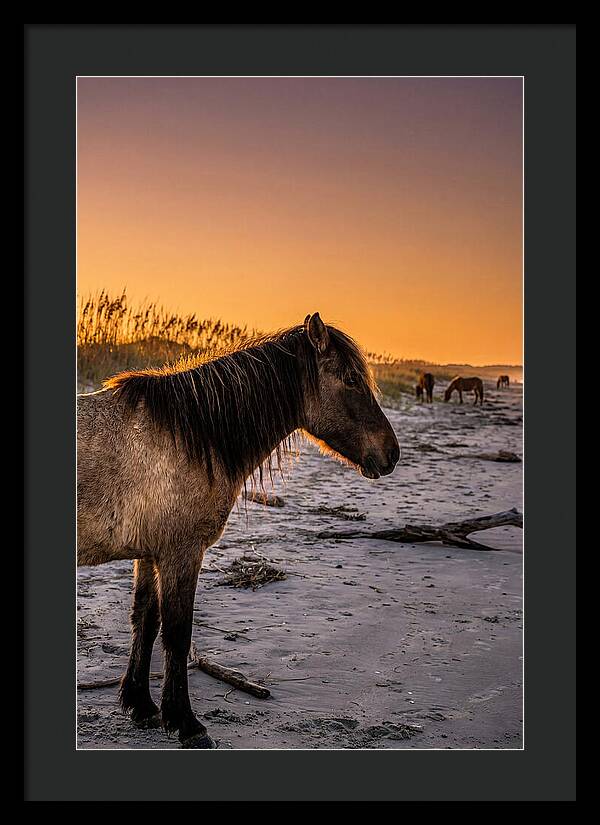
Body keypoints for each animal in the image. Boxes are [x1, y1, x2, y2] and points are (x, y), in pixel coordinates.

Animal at [77, 313, 400, 748]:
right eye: (351, 379)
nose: (391, 454)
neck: (191, 435)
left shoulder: (150, 553)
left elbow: (145, 619)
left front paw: (141, 705)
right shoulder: (182, 553)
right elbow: (177, 632)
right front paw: (185, 723)